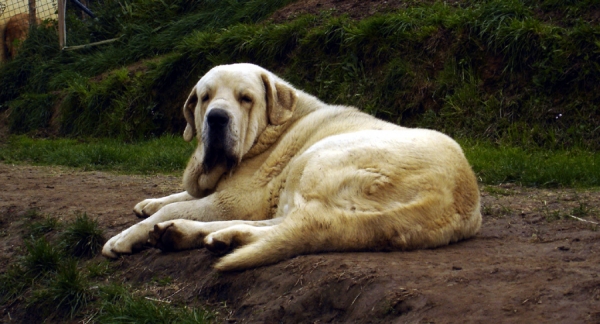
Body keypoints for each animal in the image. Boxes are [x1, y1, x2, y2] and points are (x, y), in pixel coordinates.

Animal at [101, 62, 480, 270]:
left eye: (245, 99)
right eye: (205, 98)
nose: (217, 118)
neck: (269, 132)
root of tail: (455, 197)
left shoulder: (236, 199)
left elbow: (178, 205)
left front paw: (124, 237)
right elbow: (179, 196)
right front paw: (149, 203)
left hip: (317, 158)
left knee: (299, 222)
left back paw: (190, 233)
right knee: (286, 223)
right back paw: (214, 236)